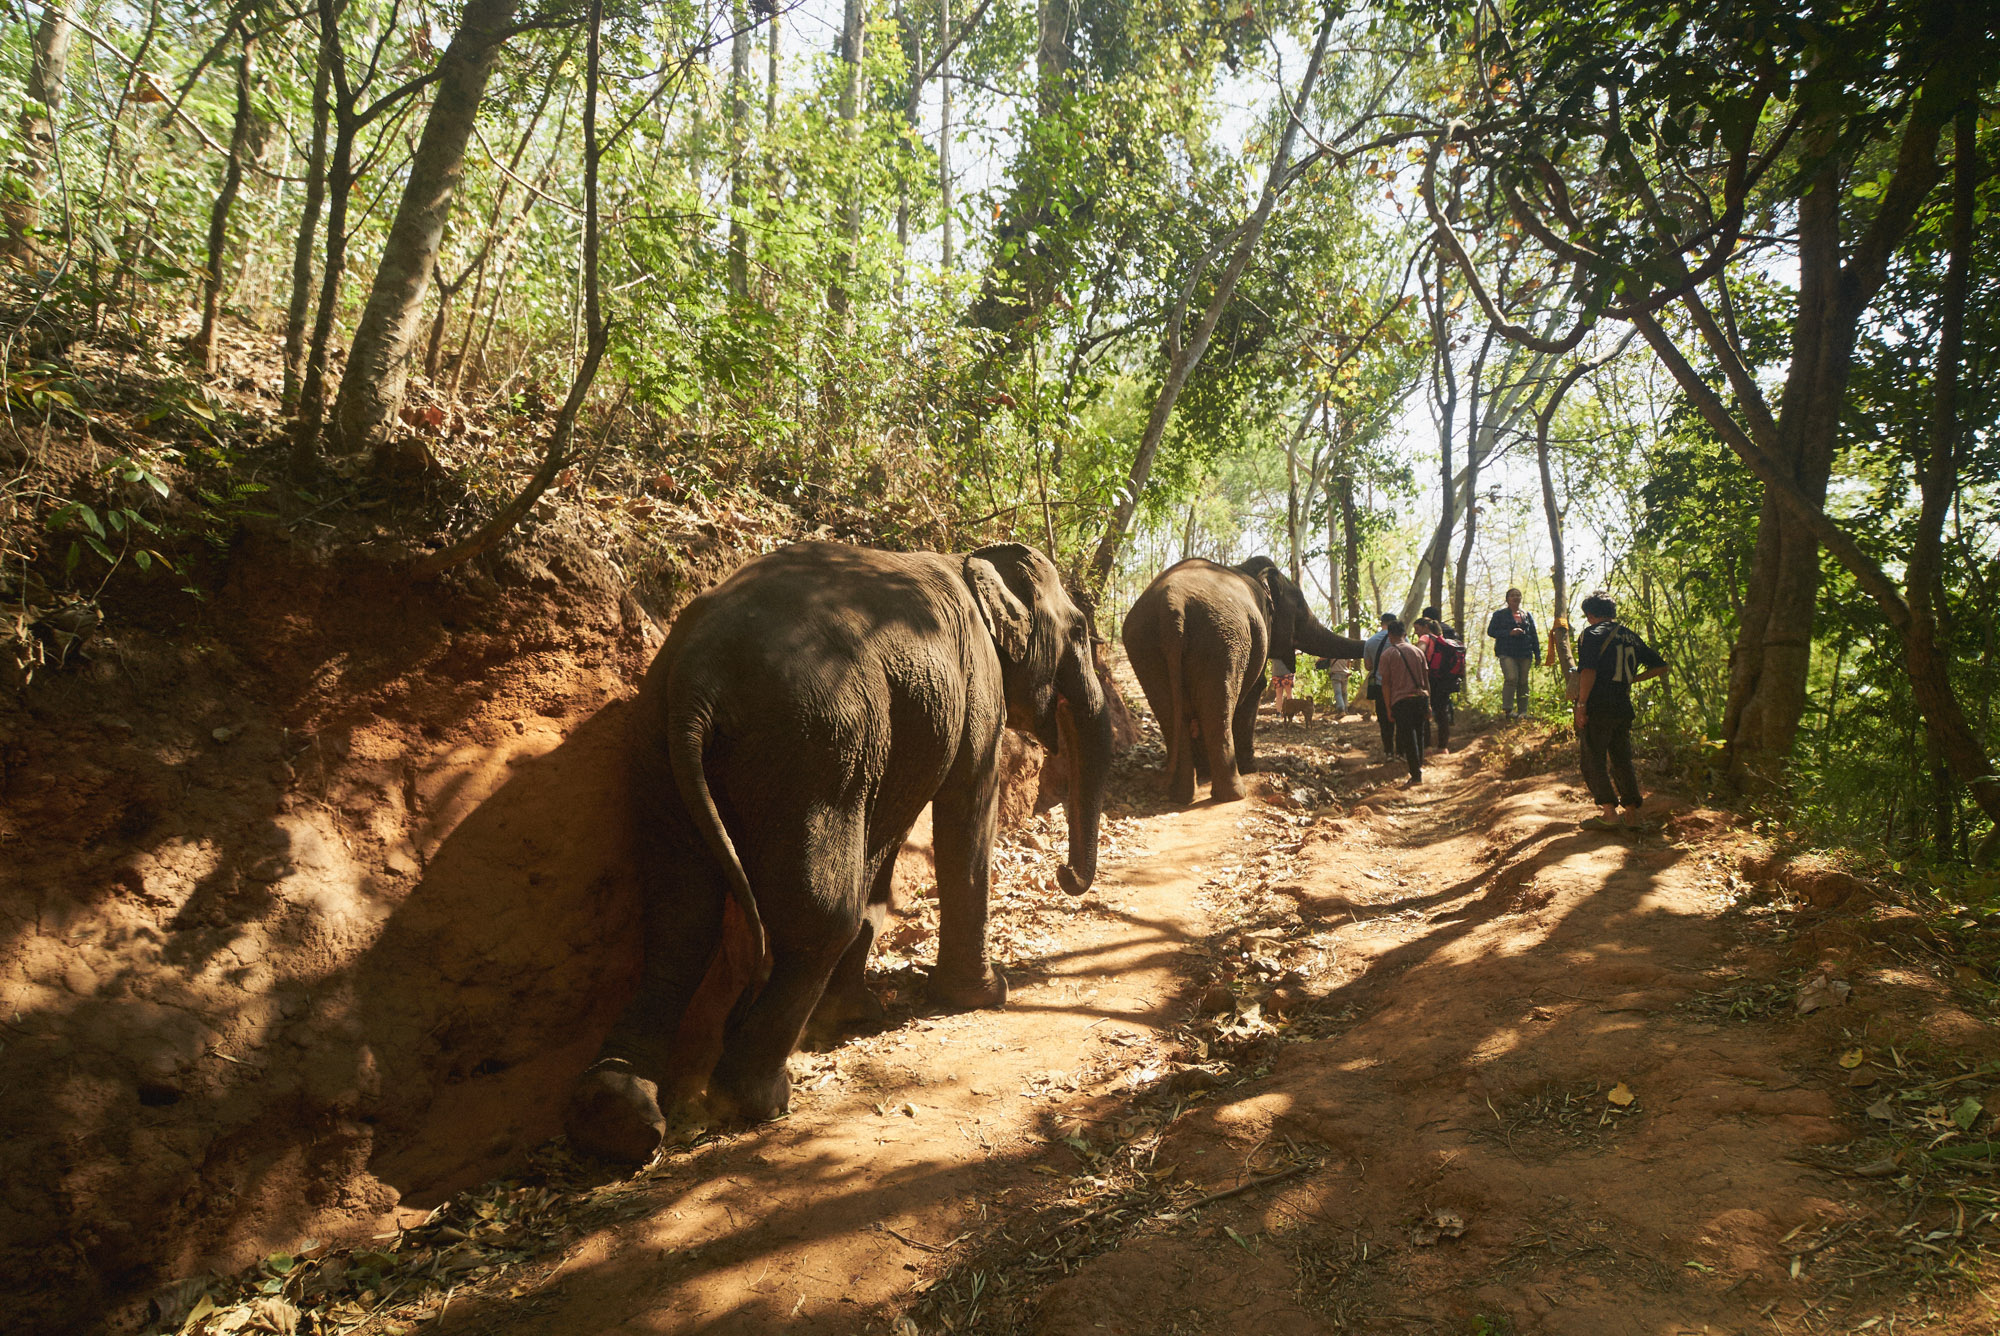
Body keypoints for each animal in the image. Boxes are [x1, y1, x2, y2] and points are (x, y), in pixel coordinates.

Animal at [572, 540, 1120, 1160]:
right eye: (1080, 631)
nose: (1063, 875)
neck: (974, 562)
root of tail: (697, 679)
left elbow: (884, 842)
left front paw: (855, 1016)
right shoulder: (977, 685)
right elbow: (966, 803)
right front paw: (983, 997)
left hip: (658, 747)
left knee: (680, 918)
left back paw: (619, 1118)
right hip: (814, 747)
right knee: (814, 920)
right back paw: (757, 1100)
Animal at [1120, 556, 1368, 804]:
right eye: (1299, 606)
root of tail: (1172, 607)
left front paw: (1205, 770)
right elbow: (1256, 688)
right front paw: (1250, 767)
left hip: (1146, 645)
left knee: (1170, 714)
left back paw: (1181, 795)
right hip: (1221, 641)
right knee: (1217, 710)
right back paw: (1233, 794)